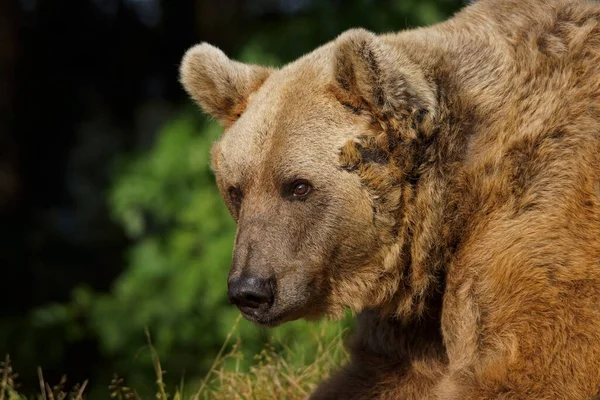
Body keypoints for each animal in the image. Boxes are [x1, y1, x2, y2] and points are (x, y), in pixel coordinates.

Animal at [180, 0, 600, 396]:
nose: (250, 290)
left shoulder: (547, 201)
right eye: (236, 189)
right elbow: (378, 371)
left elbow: (529, 367)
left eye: (298, 186)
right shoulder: (412, 317)